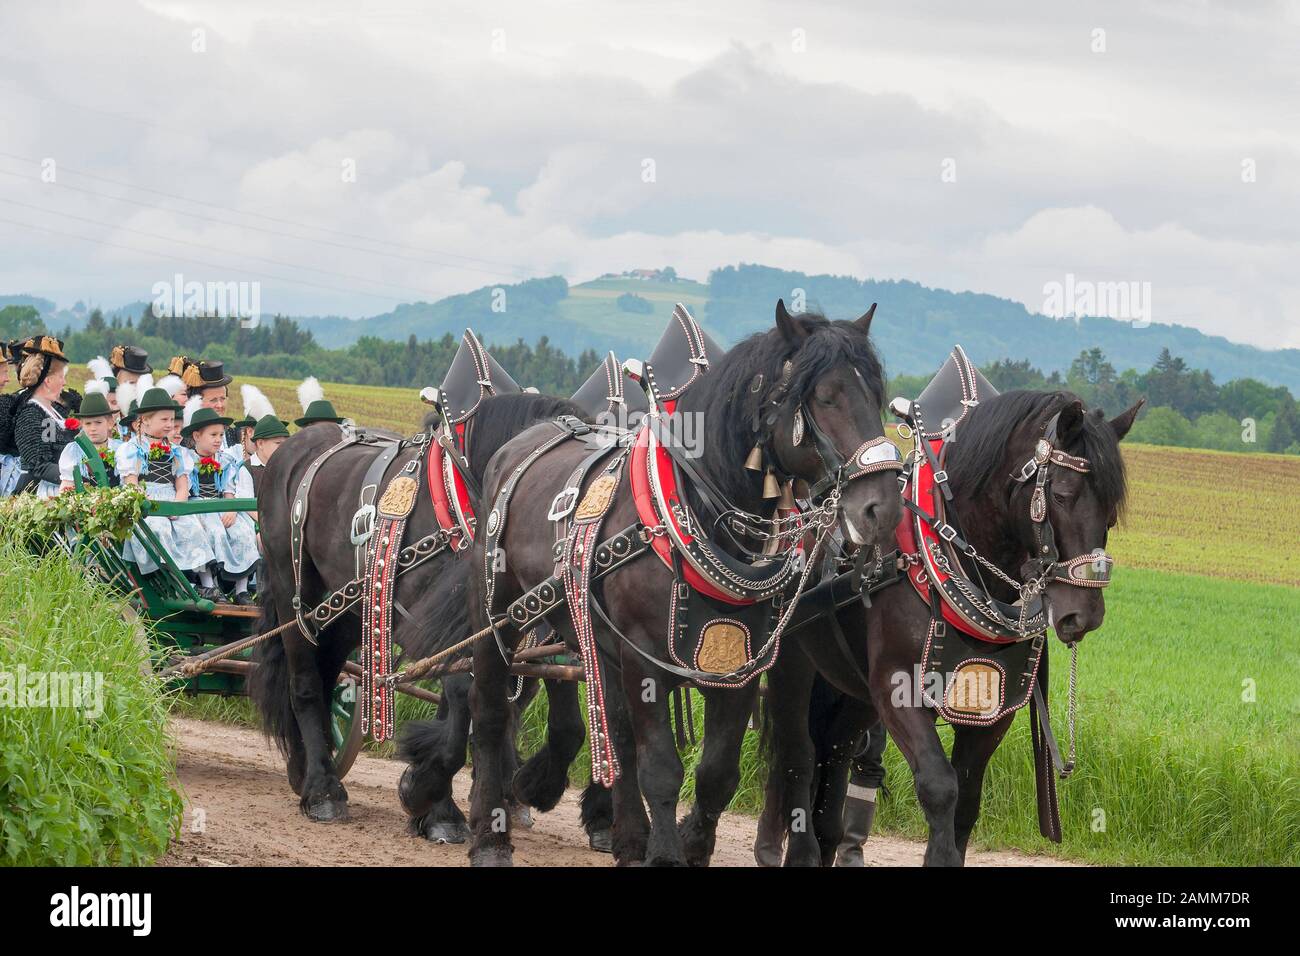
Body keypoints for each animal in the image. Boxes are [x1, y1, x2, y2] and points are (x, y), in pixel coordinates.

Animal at [249, 392, 585, 827]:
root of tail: (292, 448)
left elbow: (555, 714)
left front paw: (523, 787)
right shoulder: (443, 623)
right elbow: (461, 695)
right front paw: (431, 795)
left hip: (348, 607)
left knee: (326, 676)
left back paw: (306, 766)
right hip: (293, 588)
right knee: (304, 681)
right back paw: (322, 789)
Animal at [467, 306, 904, 868]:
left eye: (875, 396)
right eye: (826, 396)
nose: (881, 508)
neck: (695, 511)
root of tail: (521, 444)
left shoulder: (739, 661)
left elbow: (716, 772)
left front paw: (691, 846)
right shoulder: (644, 658)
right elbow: (660, 767)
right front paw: (667, 855)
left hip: (597, 642)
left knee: (618, 734)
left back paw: (627, 838)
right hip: (499, 611)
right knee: (491, 713)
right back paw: (489, 834)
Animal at [759, 390, 1144, 868]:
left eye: (1111, 511)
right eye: (1061, 494)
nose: (1084, 615)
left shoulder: (993, 710)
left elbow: (967, 801)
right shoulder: (897, 687)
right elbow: (941, 787)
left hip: (856, 690)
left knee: (834, 750)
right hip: (792, 665)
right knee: (798, 756)